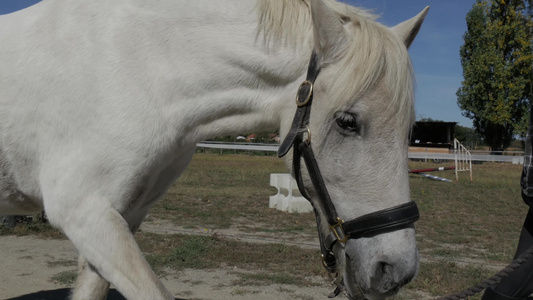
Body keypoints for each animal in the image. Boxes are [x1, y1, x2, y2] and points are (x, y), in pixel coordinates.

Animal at [0, 0, 426, 298]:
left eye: (409, 130)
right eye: (347, 121)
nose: (396, 270)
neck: (139, 67)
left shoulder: (120, 216)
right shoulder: (82, 211)